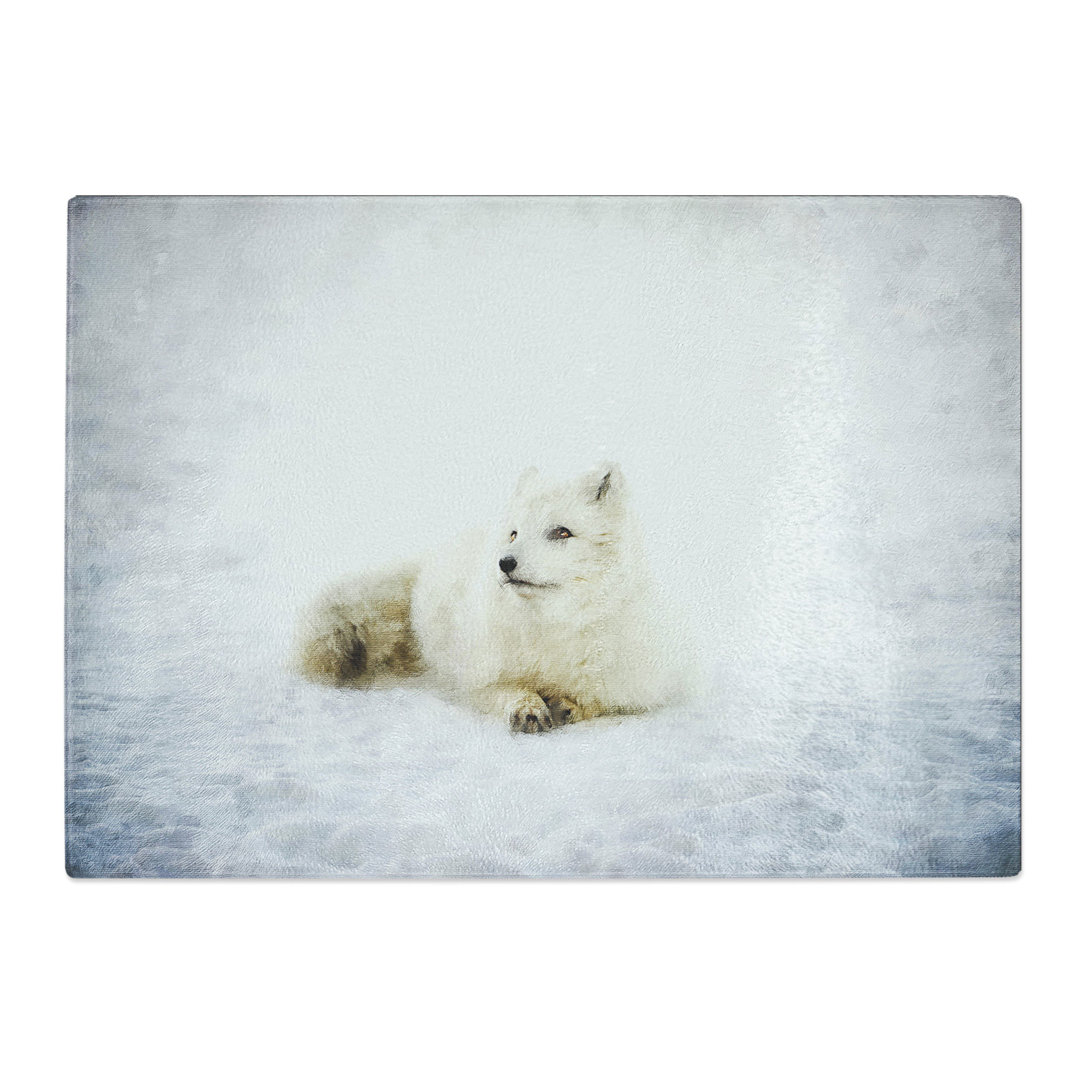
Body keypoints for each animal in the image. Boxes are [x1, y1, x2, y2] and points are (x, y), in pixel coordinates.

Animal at [296, 463, 694, 732]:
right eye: (514, 534)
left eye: (562, 532)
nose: (505, 562)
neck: (553, 628)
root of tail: (428, 561)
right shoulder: (476, 677)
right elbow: (505, 689)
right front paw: (526, 706)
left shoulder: (634, 682)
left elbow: (601, 700)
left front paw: (569, 704)